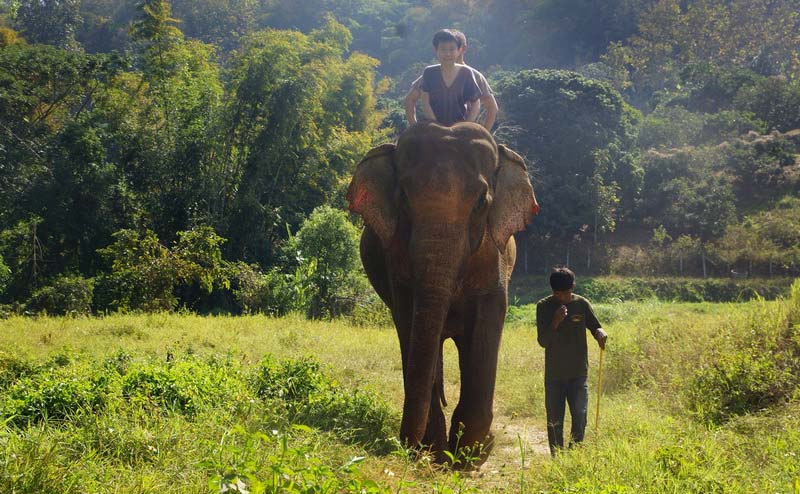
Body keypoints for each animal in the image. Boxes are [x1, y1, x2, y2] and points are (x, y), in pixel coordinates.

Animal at [346, 119, 540, 464]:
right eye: (404, 199)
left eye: (481, 203)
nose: (404, 446)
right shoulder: (396, 259)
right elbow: (409, 319)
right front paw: (437, 452)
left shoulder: (494, 257)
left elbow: (488, 319)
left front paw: (469, 456)